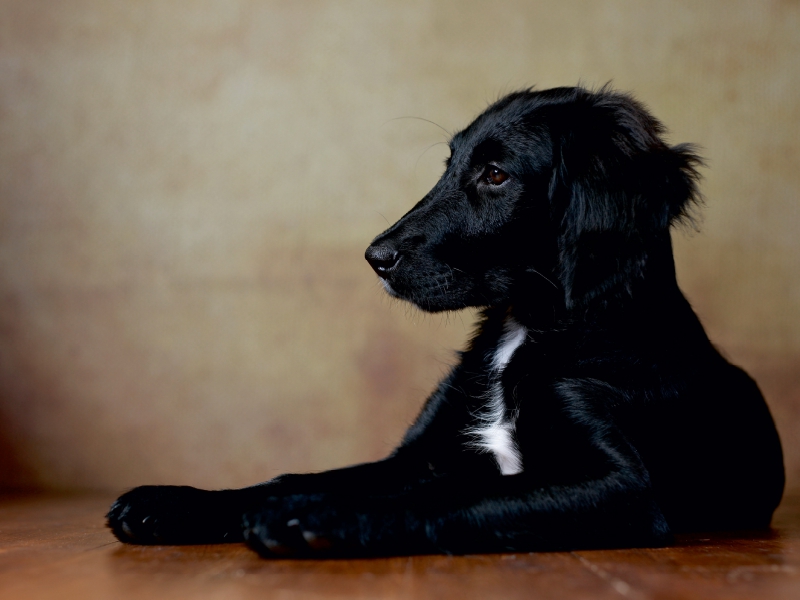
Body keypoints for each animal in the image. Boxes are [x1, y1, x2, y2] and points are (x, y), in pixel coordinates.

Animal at [104, 86, 780, 556]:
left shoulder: (626, 489)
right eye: (449, 165)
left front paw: (313, 515)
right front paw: (177, 502)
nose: (375, 257)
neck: (525, 332)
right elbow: (295, 475)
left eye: (496, 174)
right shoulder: (419, 455)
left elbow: (456, 491)